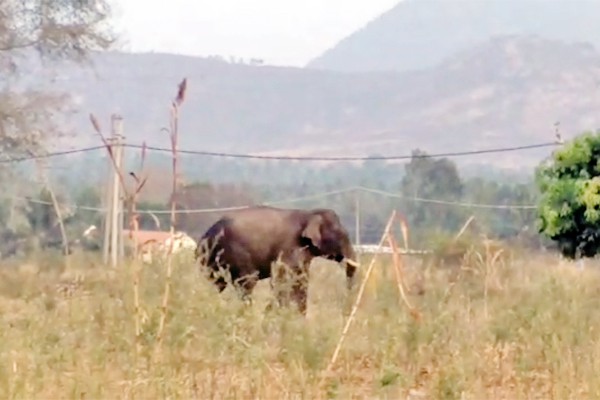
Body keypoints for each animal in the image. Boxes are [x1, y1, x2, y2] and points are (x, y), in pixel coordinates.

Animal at [195, 206, 358, 316]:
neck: (309, 213)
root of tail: (208, 234)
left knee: (217, 283)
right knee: (247, 283)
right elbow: (286, 279)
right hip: (236, 253)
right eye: (342, 236)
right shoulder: (291, 247)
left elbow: (301, 280)